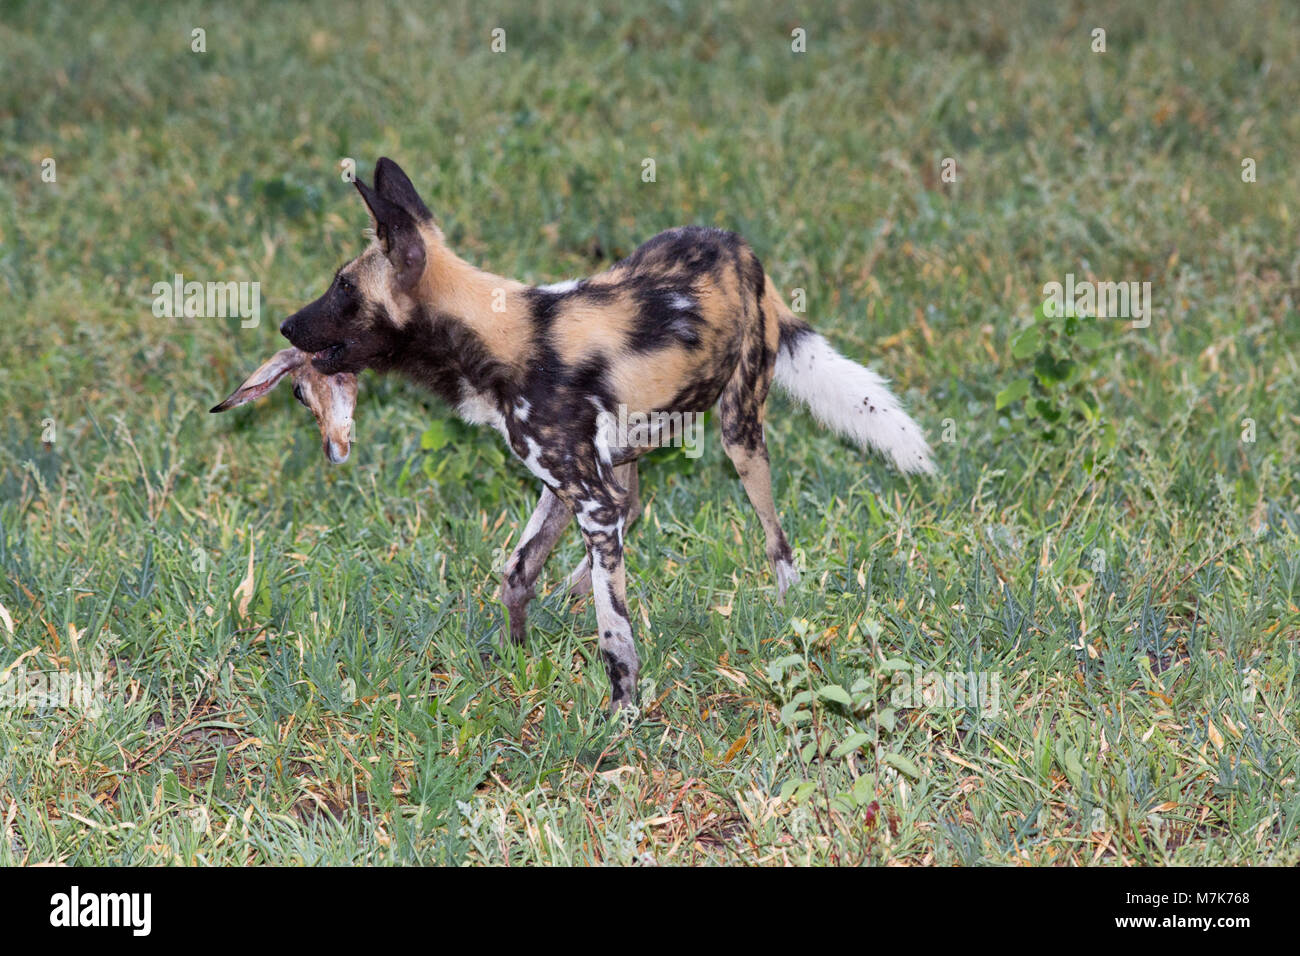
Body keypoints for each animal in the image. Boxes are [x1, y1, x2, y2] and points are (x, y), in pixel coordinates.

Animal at [276, 157, 935, 712]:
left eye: (343, 289)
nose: (284, 324)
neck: (495, 338)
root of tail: (736, 243)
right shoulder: (567, 488)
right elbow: (517, 572)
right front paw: (516, 658)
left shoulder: (588, 497)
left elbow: (614, 632)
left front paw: (622, 712)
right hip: (627, 452)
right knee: (632, 510)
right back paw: (574, 587)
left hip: (738, 431)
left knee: (774, 538)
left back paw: (783, 599)